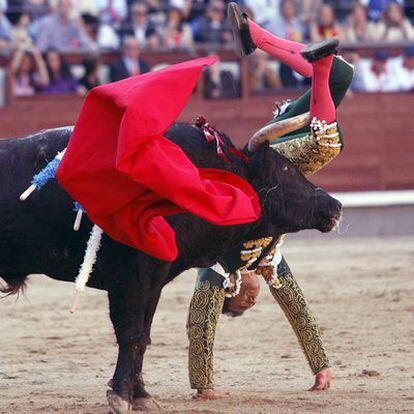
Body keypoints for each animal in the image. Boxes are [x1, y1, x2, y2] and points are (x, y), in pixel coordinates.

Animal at [1, 123, 342, 410]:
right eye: (284, 170)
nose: (335, 206)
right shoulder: (132, 277)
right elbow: (131, 333)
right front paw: (121, 396)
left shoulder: (154, 279)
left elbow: (143, 336)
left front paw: (141, 396)